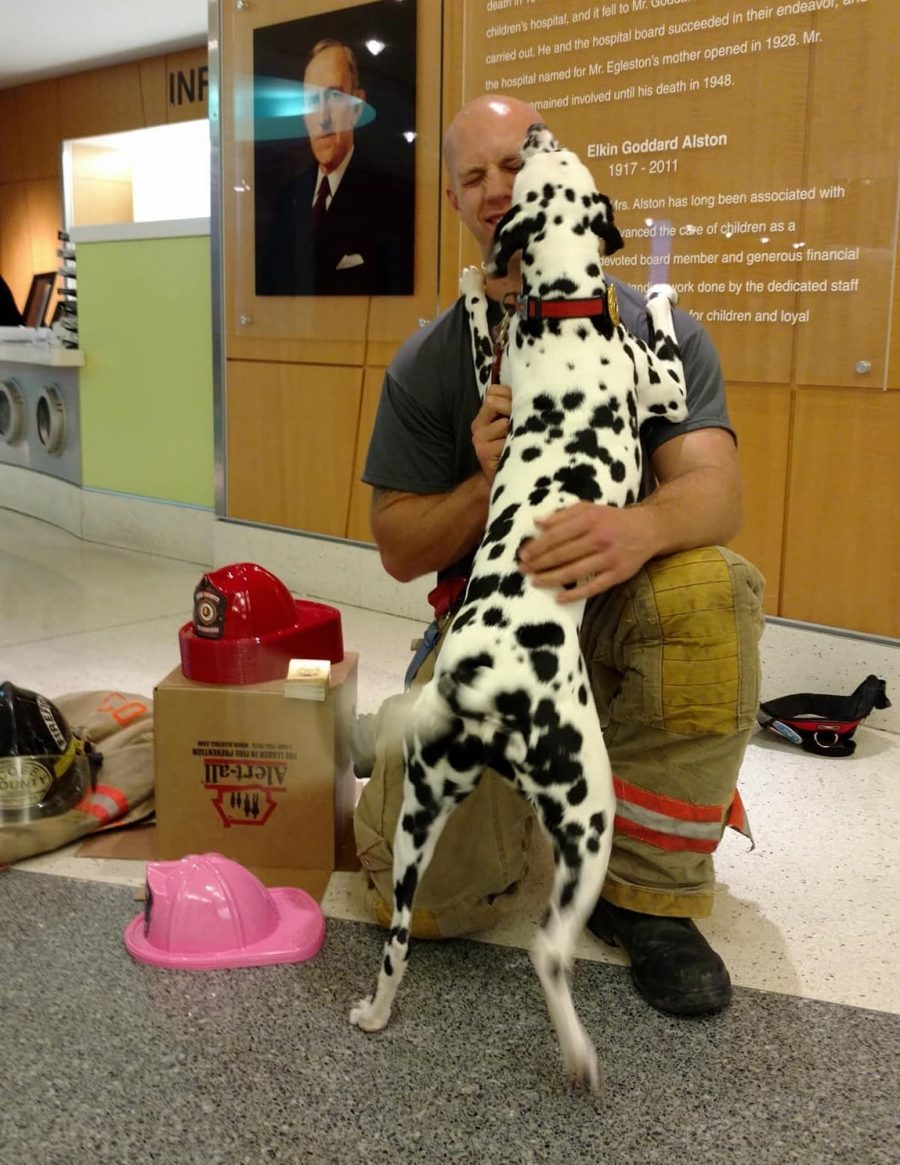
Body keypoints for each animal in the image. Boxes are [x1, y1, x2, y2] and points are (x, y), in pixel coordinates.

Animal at [351, 122, 689, 1085]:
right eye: (555, 156)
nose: (537, 129)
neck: (564, 306)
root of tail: (480, 682)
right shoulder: (664, 386)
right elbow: (661, 334)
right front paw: (659, 282)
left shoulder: (492, 377)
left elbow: (476, 331)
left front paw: (472, 285)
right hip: (589, 811)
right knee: (549, 949)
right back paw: (578, 1054)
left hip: (418, 819)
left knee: (398, 936)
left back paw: (377, 1012)